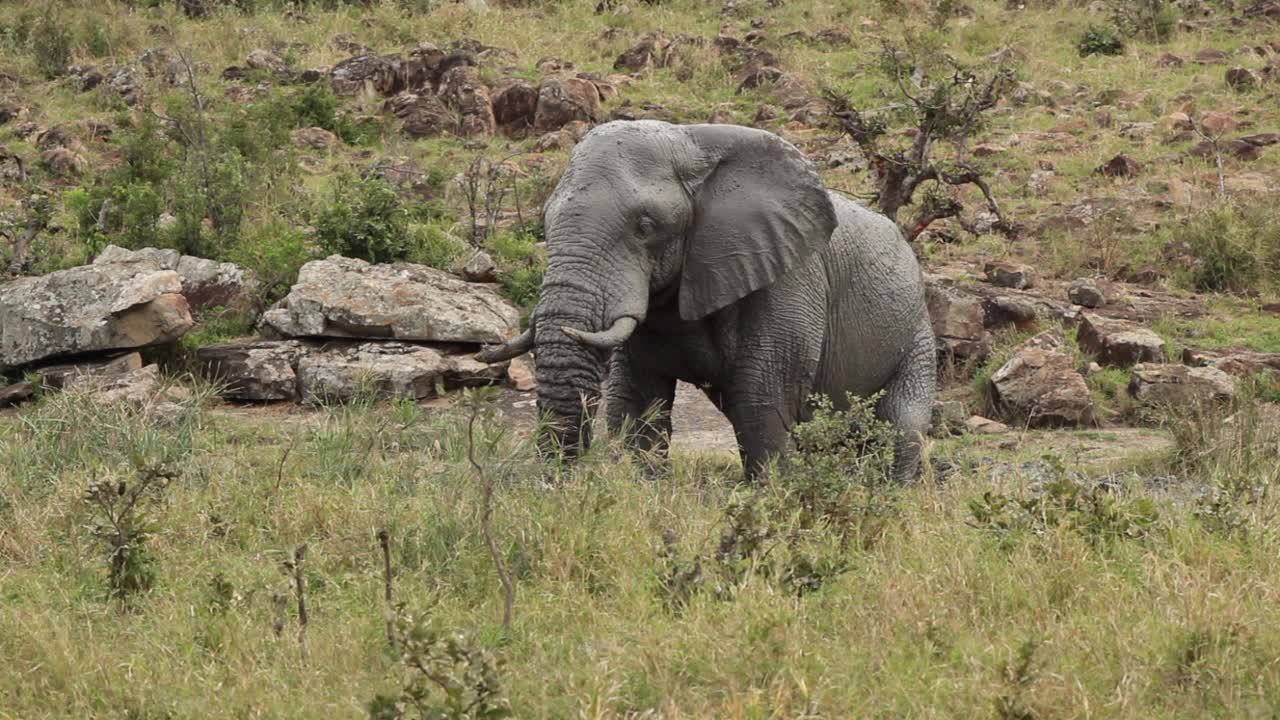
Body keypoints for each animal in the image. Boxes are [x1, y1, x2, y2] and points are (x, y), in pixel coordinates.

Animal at [476, 117, 936, 479]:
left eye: (646, 226)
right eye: (546, 221)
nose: (562, 480)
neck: (691, 143)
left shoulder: (788, 277)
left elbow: (760, 400)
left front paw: (771, 502)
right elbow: (638, 397)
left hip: (916, 335)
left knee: (901, 427)